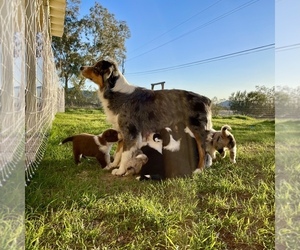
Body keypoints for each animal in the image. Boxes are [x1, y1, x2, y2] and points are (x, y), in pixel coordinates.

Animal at [78, 58, 212, 176]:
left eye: (96, 67)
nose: (81, 67)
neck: (115, 91)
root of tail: (206, 98)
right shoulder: (121, 131)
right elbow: (118, 152)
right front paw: (113, 165)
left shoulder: (129, 131)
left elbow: (125, 154)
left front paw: (120, 171)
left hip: (197, 129)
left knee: (203, 150)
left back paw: (199, 169)